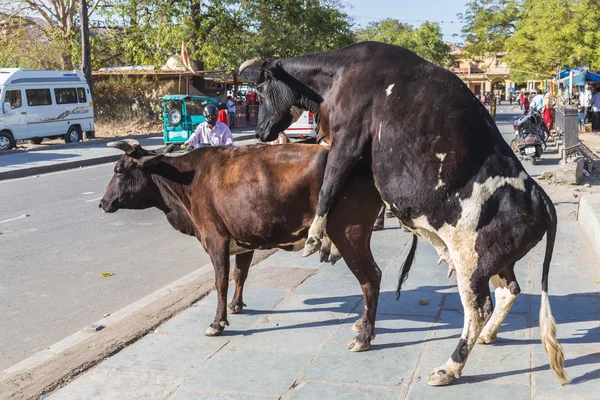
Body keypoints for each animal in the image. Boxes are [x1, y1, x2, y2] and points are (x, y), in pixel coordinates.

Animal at [98, 140, 380, 350]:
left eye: (119, 170)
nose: (102, 203)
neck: (188, 181)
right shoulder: (245, 238)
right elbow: (239, 273)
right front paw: (236, 306)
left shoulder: (215, 240)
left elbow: (220, 280)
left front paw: (217, 323)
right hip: (361, 236)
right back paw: (361, 325)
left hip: (348, 234)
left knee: (370, 278)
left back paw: (363, 337)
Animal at [239, 41, 568, 388]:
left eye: (259, 90)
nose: (259, 132)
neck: (340, 72)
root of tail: (540, 197)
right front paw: (326, 244)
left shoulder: (347, 137)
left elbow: (330, 183)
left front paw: (315, 238)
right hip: (494, 261)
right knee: (508, 291)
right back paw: (487, 336)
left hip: (471, 261)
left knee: (479, 308)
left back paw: (448, 368)